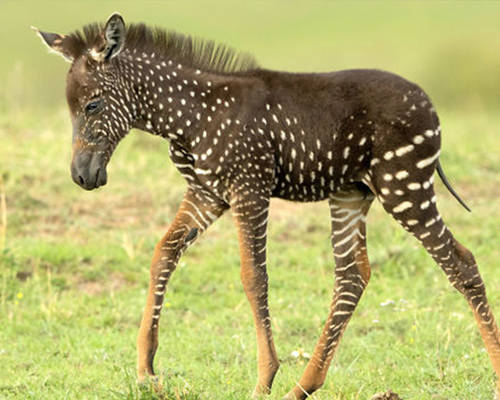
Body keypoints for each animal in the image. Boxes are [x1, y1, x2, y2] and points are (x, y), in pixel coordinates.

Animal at [35, 13, 500, 400]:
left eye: (93, 104)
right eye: (70, 109)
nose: (82, 176)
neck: (190, 118)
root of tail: (429, 105)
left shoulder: (249, 189)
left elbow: (253, 277)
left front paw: (264, 378)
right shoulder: (206, 194)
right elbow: (162, 253)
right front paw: (146, 368)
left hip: (404, 186)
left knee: (460, 262)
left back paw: (494, 372)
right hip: (352, 193)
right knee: (352, 275)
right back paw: (303, 387)